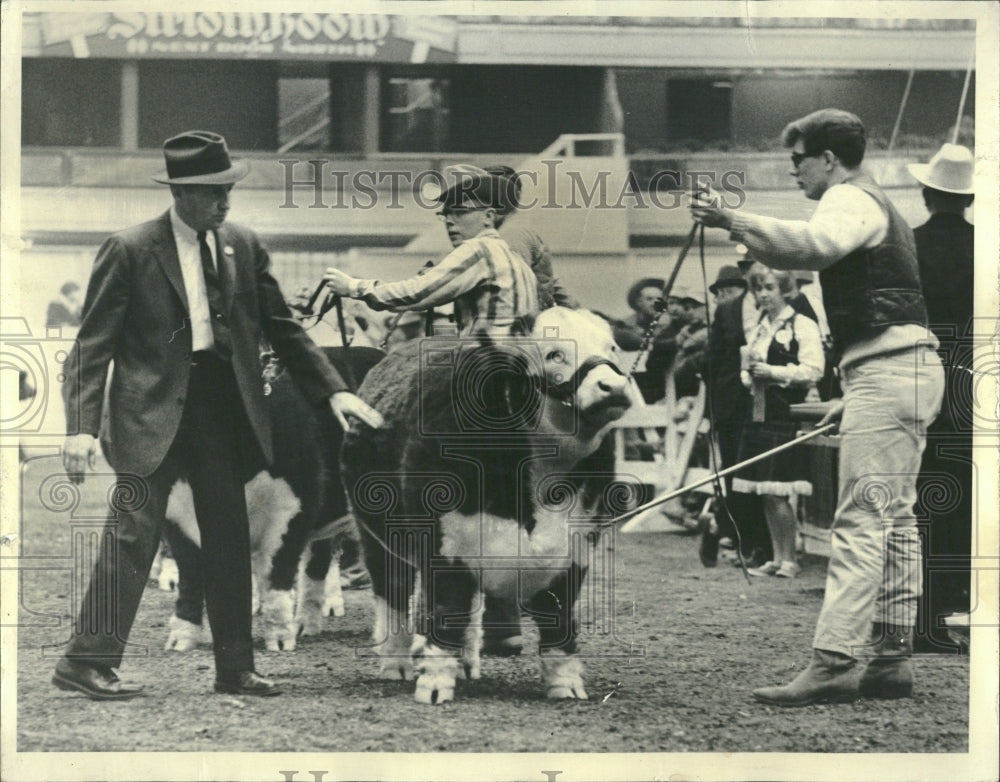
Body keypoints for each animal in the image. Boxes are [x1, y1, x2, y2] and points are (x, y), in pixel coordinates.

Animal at [164, 346, 382, 652]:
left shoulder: (293, 506)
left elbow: (277, 571)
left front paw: (279, 639)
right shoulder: (176, 508)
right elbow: (191, 574)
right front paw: (180, 639)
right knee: (317, 562)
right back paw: (306, 625)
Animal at [344, 310, 632, 708]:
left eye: (613, 348)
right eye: (554, 354)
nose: (614, 387)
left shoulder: (574, 551)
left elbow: (559, 623)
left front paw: (566, 685)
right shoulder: (445, 548)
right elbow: (446, 611)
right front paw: (434, 686)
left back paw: (466, 663)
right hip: (376, 537)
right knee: (393, 595)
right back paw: (396, 663)